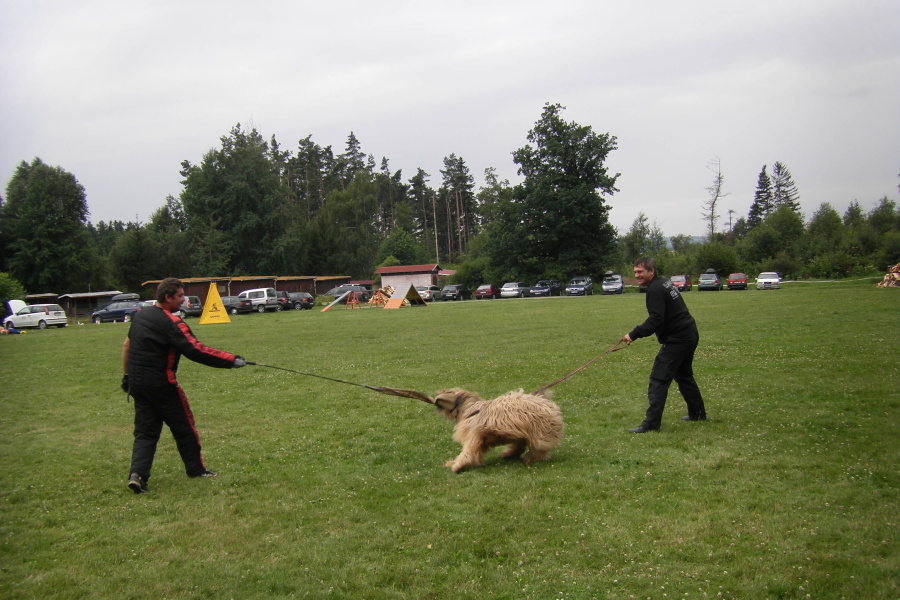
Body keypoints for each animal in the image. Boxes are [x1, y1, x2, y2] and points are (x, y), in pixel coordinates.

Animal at [434, 390, 564, 474]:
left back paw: (530, 459)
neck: (471, 409)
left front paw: (457, 466)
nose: (435, 401)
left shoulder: (473, 437)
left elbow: (467, 452)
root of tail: (549, 404)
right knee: (522, 445)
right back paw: (509, 454)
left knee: (538, 449)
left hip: (540, 432)